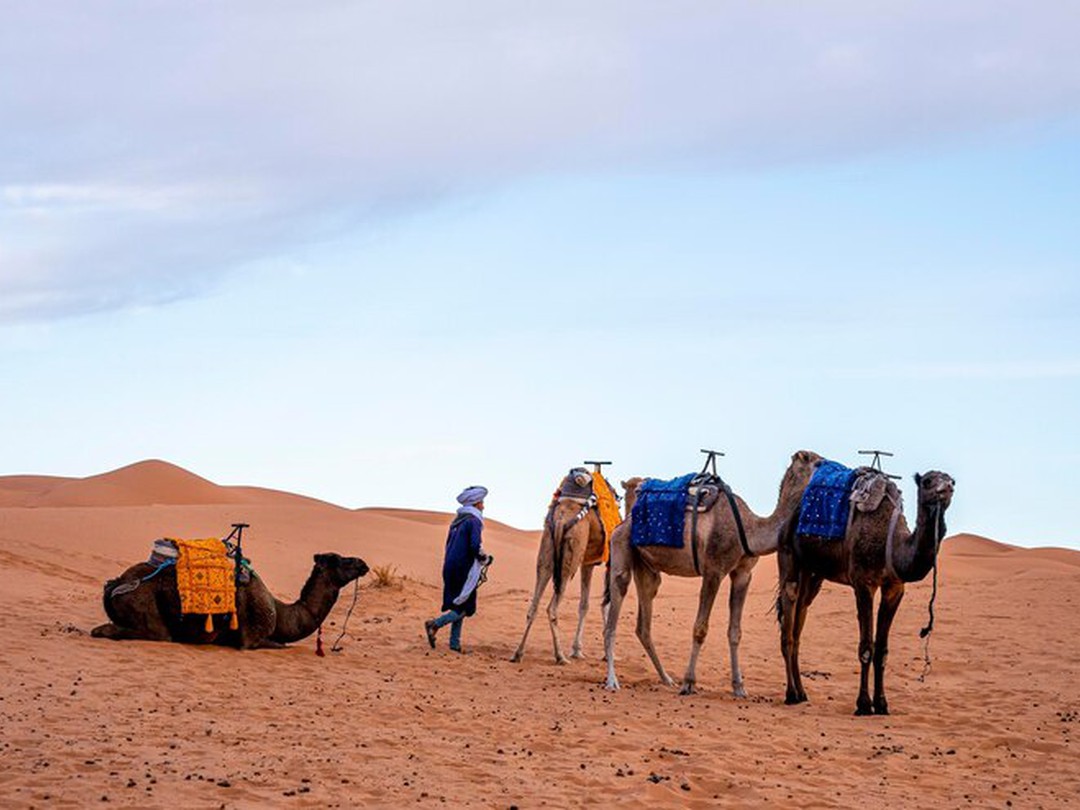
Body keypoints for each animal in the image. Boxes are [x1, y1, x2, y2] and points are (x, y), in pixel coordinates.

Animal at [89, 552, 367, 652]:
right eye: (341, 560)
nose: (363, 564)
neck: (281, 612)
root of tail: (115, 584)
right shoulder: (252, 639)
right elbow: (280, 645)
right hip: (145, 606)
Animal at [511, 468, 622, 665]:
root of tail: (562, 518)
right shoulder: (609, 561)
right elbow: (607, 605)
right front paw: (609, 654)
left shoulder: (588, 563)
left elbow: (584, 605)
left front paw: (577, 650)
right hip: (571, 555)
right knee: (552, 608)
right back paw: (560, 656)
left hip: (548, 546)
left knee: (534, 605)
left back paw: (518, 653)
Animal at [604, 451, 820, 699]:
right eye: (817, 462)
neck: (750, 528)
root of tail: (624, 522)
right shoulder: (713, 570)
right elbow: (700, 629)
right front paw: (689, 683)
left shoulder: (743, 573)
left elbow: (735, 632)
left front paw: (739, 687)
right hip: (621, 546)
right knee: (614, 611)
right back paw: (612, 680)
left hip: (647, 567)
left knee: (644, 623)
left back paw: (666, 678)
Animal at [777, 468, 954, 717]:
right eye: (928, 481)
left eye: (952, 481)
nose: (946, 488)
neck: (893, 545)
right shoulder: (863, 583)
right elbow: (866, 648)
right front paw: (863, 704)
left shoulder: (894, 587)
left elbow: (882, 650)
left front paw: (881, 704)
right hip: (788, 554)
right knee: (788, 619)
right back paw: (791, 694)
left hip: (812, 573)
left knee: (800, 615)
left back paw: (802, 693)